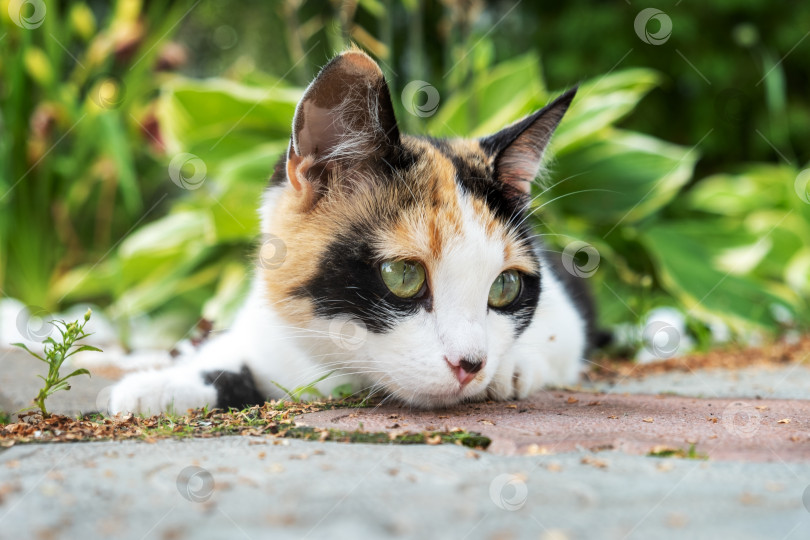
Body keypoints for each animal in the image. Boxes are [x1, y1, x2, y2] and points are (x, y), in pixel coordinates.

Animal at [109, 49, 592, 414]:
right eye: (403, 275)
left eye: (505, 286)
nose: (471, 364)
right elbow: (225, 356)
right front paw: (156, 387)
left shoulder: (568, 315)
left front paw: (510, 368)